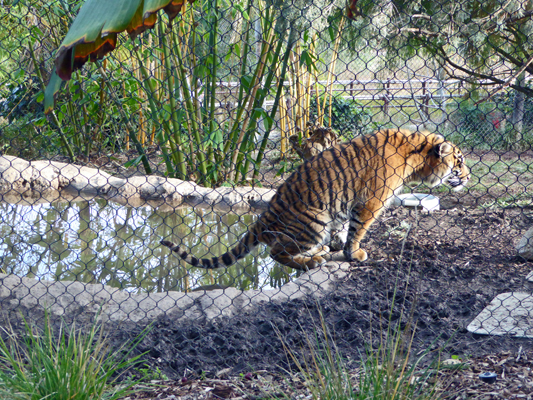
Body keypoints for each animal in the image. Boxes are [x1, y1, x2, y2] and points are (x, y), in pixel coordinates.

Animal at [160, 130, 468, 270]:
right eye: (459, 161)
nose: (468, 176)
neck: (416, 157)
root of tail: (263, 218)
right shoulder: (370, 203)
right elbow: (357, 231)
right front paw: (354, 253)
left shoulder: (345, 204)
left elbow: (344, 227)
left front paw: (339, 246)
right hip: (314, 220)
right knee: (275, 254)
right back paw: (313, 261)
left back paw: (318, 252)